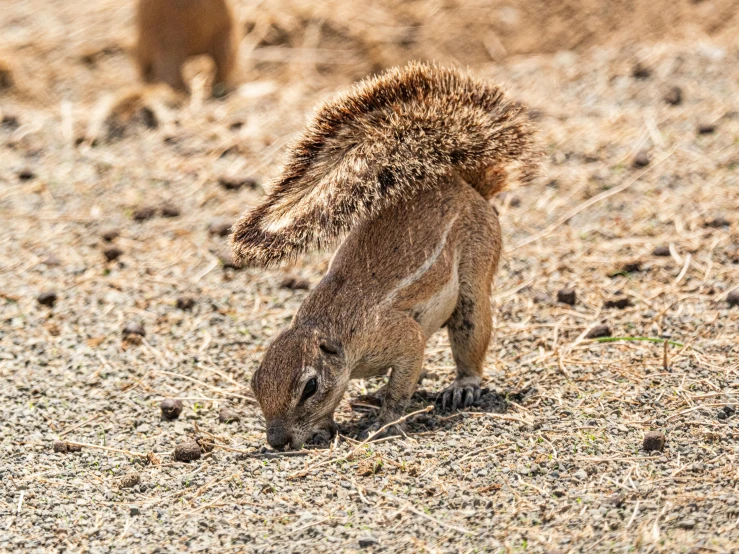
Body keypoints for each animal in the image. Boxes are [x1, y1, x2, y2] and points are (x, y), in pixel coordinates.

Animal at [234, 61, 540, 448]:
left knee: (471, 339)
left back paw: (462, 386)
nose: (276, 441)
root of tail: (466, 185)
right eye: (255, 383)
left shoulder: (401, 336)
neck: (333, 328)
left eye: (310, 387)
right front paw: (329, 424)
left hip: (474, 281)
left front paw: (385, 422)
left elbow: (402, 381)